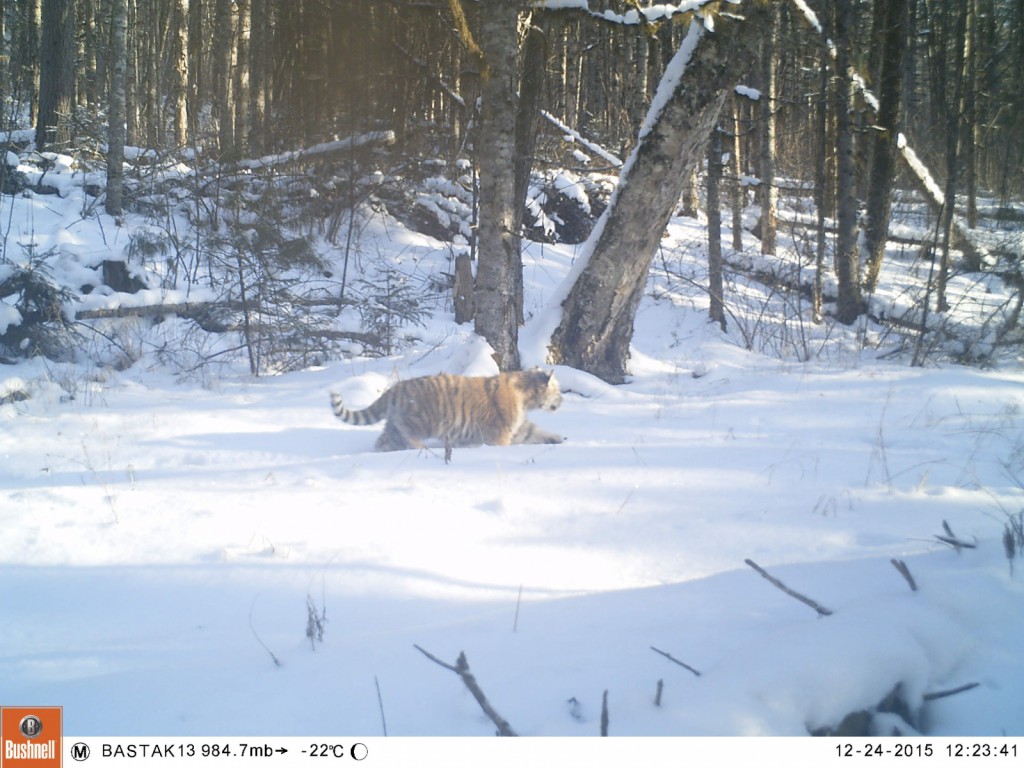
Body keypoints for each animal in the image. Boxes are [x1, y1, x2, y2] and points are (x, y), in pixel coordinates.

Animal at [329, 370, 565, 454]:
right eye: (558, 391)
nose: (563, 400)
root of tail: (397, 387)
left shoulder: (519, 427)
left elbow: (537, 432)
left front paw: (559, 439)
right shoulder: (500, 432)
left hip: (393, 426)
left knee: (384, 440)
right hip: (420, 420)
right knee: (407, 433)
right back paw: (419, 448)